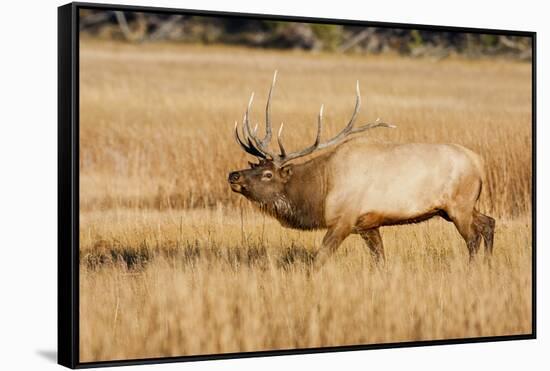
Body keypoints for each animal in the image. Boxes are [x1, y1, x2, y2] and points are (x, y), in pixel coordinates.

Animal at [229, 72, 496, 270]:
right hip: (456, 207)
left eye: (268, 174)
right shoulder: (368, 224)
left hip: (459, 205)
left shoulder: (344, 220)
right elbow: (380, 260)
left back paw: (473, 269)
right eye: (255, 166)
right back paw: (488, 264)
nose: (233, 175)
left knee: (473, 237)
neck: (320, 192)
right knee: (489, 222)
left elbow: (318, 259)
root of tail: (480, 163)